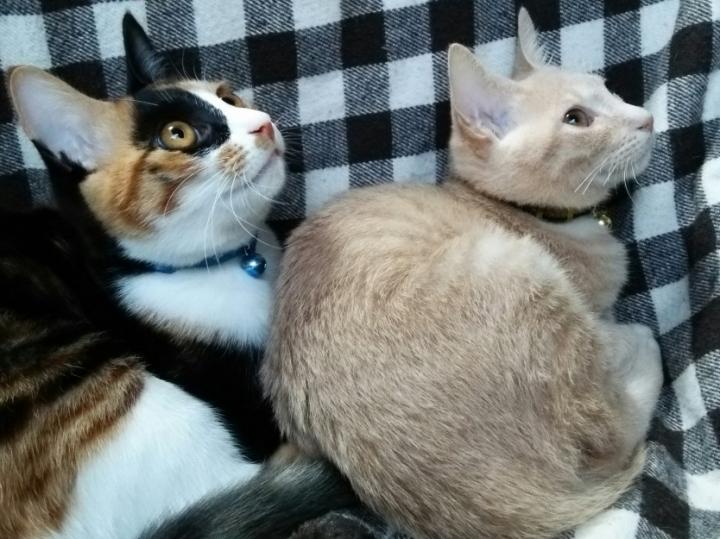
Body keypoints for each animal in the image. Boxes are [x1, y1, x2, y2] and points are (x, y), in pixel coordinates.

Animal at [262, 9, 663, 539]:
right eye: (577, 119)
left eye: (608, 90)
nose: (646, 117)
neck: (533, 216)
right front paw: (624, 332)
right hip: (521, 271)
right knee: (614, 426)